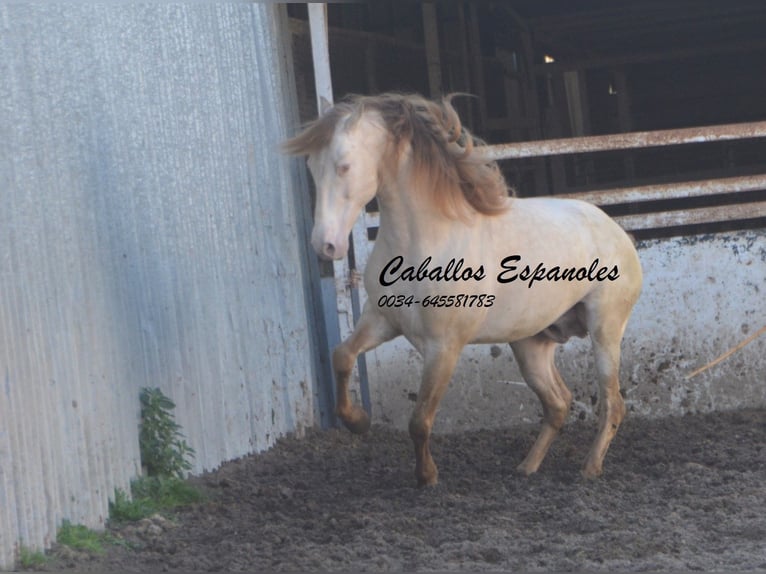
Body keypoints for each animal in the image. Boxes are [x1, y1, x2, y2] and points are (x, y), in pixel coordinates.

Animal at [284, 92, 644, 488]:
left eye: (344, 166)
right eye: (312, 166)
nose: (326, 246)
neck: (426, 239)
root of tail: (617, 231)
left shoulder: (444, 347)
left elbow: (420, 420)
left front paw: (427, 476)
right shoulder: (381, 321)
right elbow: (342, 356)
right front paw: (358, 422)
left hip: (605, 332)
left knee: (612, 403)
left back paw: (589, 469)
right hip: (531, 345)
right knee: (558, 403)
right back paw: (526, 467)